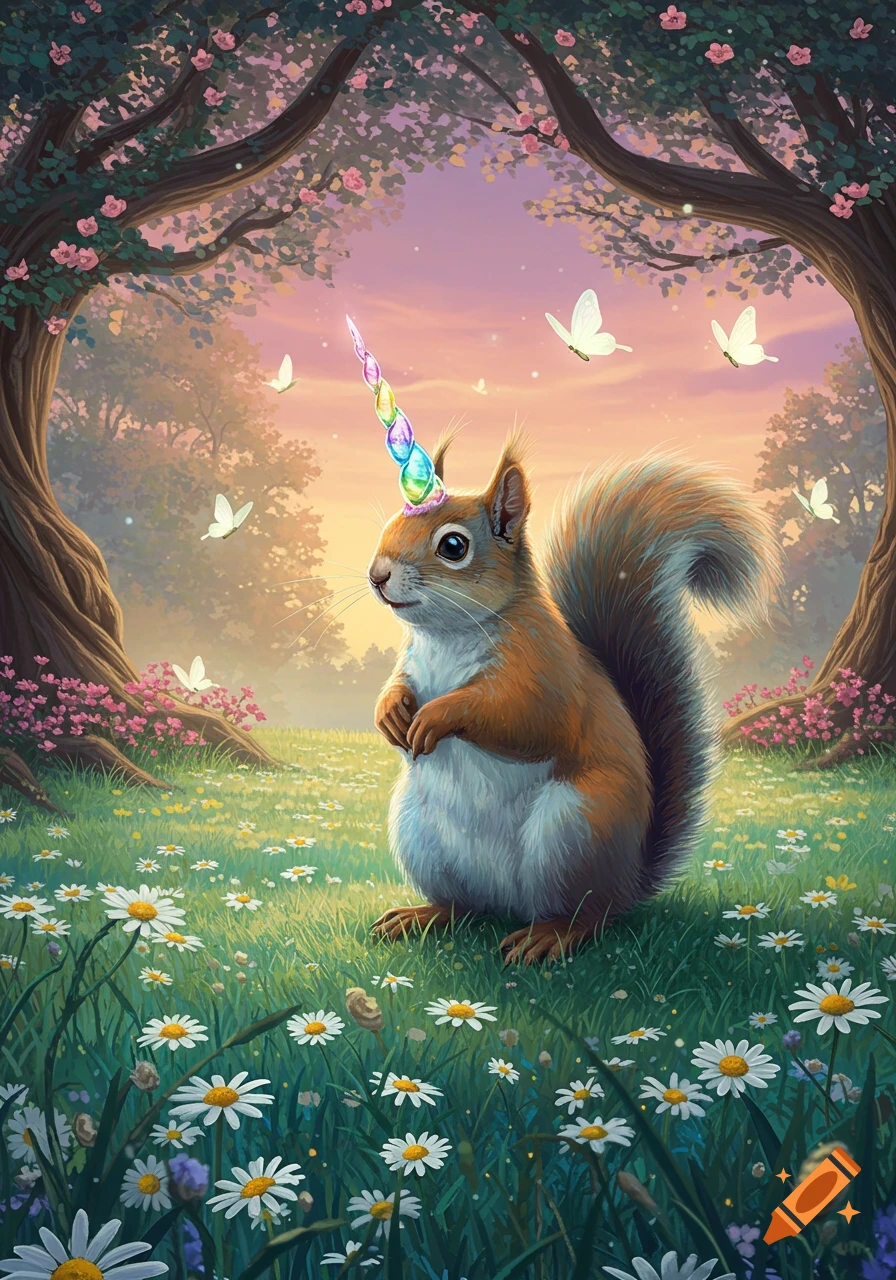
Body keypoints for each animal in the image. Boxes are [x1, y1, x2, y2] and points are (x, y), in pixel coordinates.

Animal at [368, 430, 781, 963]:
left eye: (453, 546)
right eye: (392, 523)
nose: (377, 575)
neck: (449, 635)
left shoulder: (548, 671)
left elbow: (526, 719)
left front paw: (437, 715)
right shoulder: (413, 663)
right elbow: (399, 685)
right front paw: (390, 712)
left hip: (576, 828)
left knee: (589, 914)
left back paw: (551, 935)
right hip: (420, 835)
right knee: (465, 906)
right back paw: (423, 914)